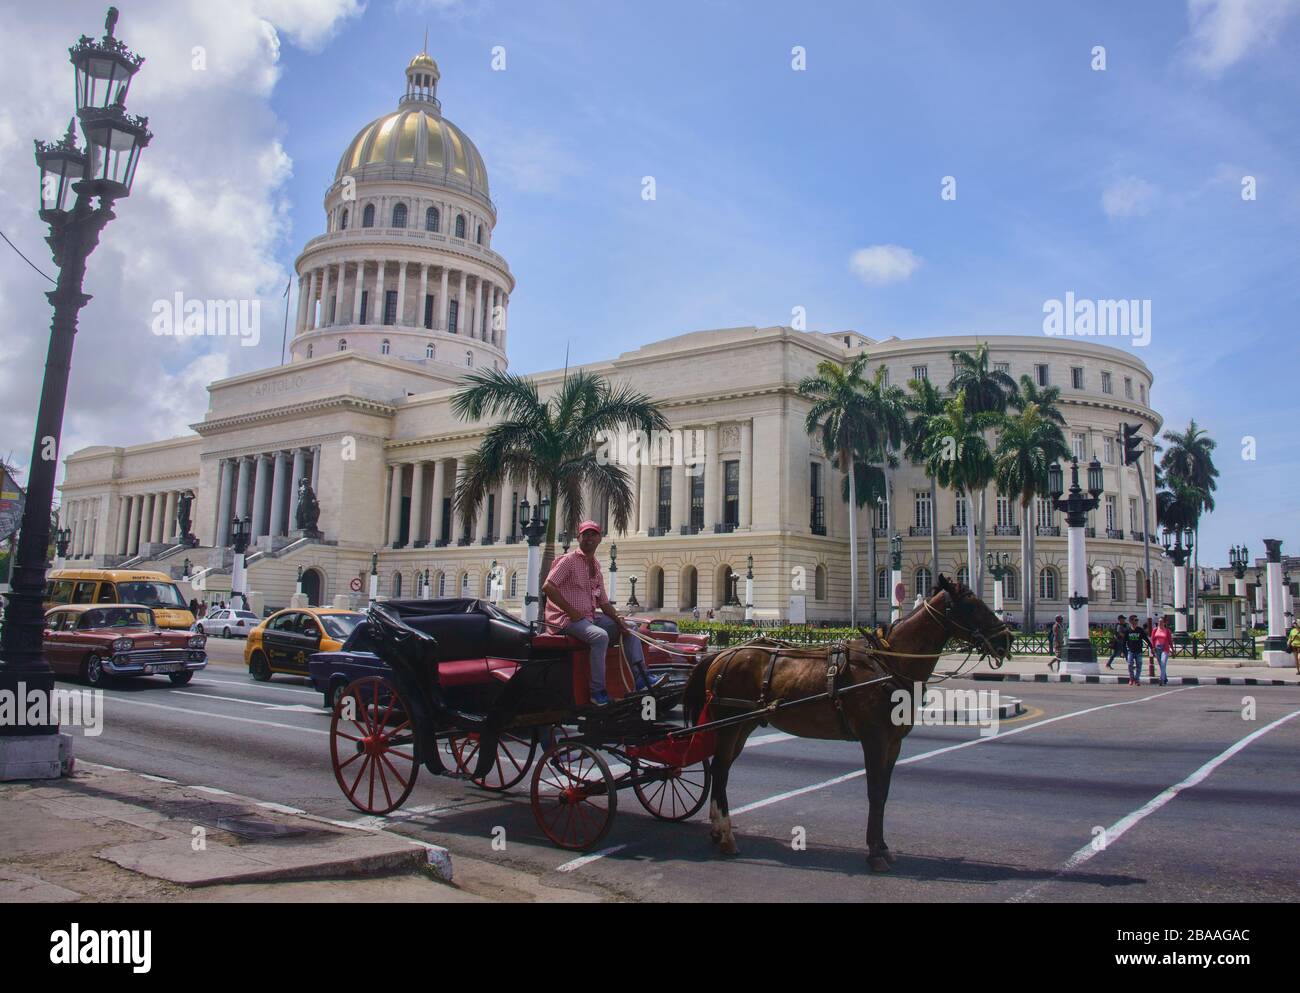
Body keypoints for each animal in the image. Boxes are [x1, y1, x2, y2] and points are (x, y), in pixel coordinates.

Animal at [681, 574, 1013, 868]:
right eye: (971, 606)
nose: (1007, 640)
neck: (890, 662)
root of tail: (723, 654)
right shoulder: (874, 738)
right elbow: (874, 791)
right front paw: (876, 854)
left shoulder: (893, 742)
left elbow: (884, 792)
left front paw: (882, 848)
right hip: (729, 724)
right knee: (720, 770)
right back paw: (726, 837)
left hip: (743, 725)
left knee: (722, 769)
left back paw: (718, 831)